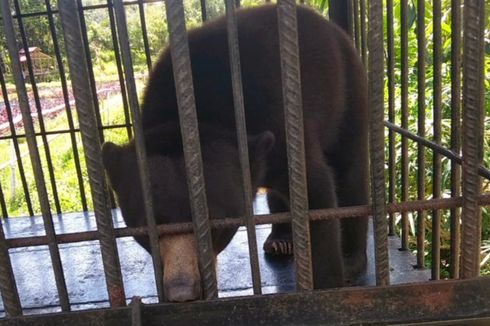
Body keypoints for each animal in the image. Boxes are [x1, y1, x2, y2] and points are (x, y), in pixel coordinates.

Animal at [102, 3, 368, 304]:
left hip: (348, 94)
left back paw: (352, 259)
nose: (183, 292)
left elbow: (316, 196)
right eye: (147, 230)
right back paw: (280, 240)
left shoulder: (282, 120)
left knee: (349, 173)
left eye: (215, 227)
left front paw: (327, 288)